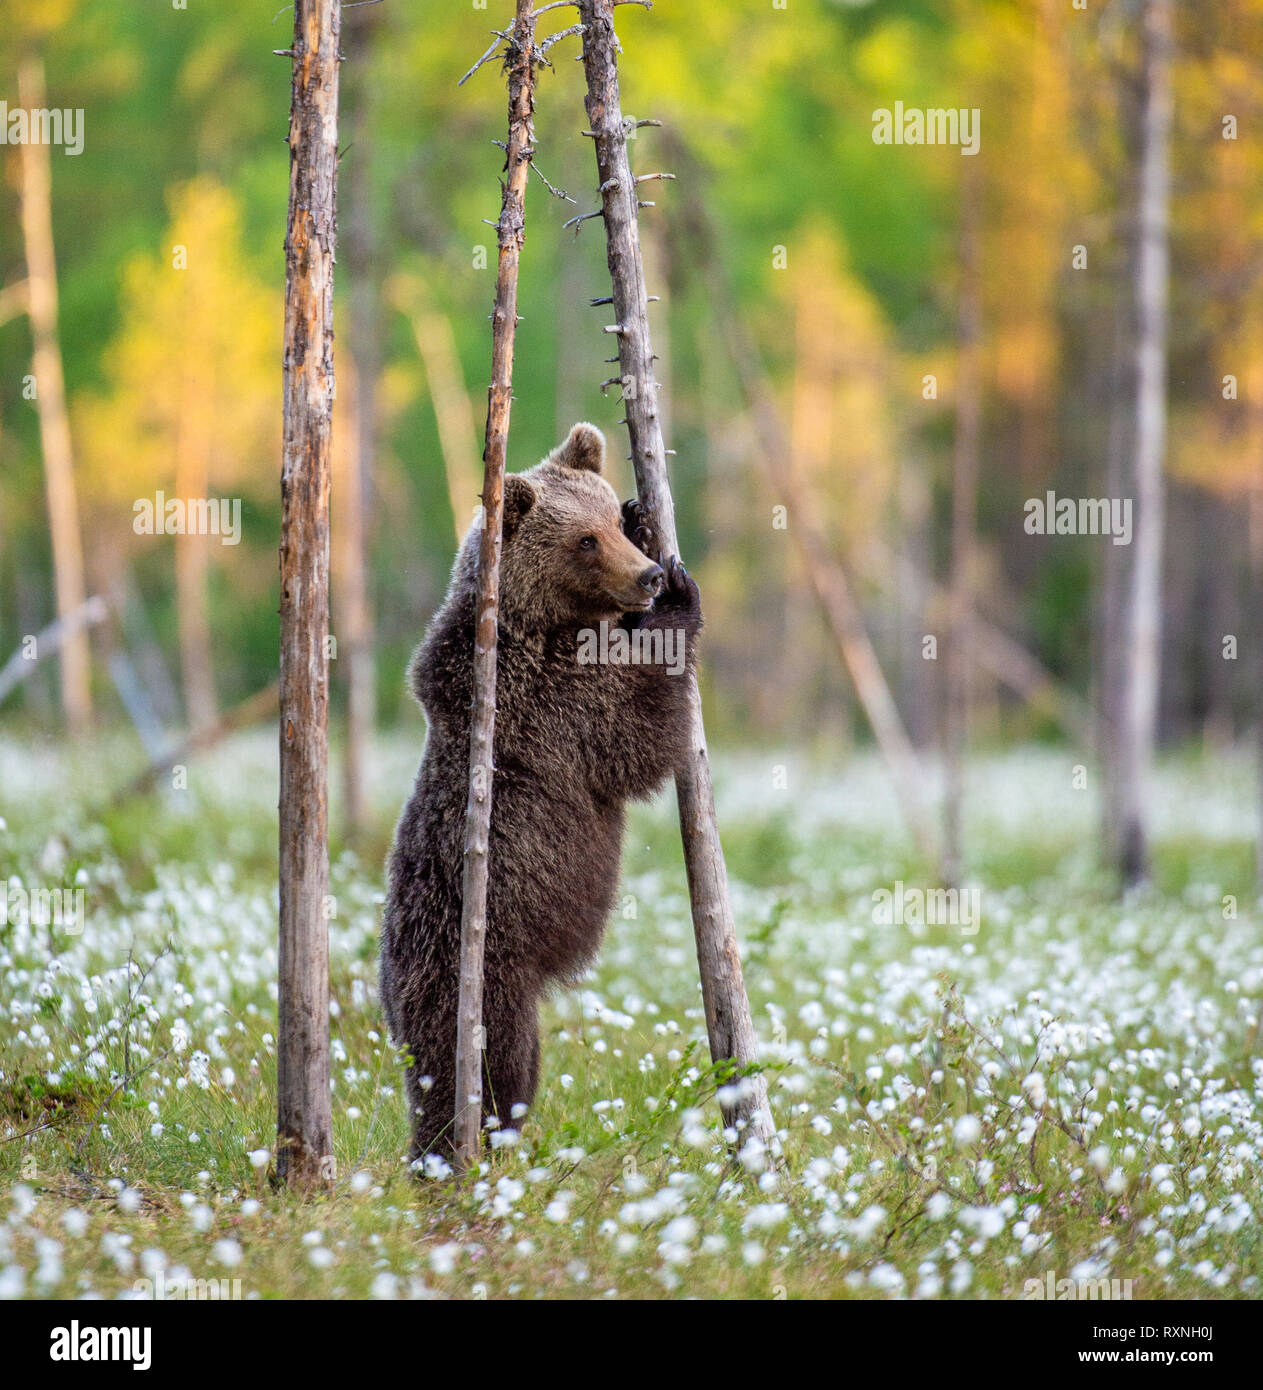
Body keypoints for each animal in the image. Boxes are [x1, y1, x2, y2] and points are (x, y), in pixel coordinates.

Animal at [380, 422, 705, 1162]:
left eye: (607, 518)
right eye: (582, 540)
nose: (646, 576)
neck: (534, 623)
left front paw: (649, 521)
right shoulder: (543, 701)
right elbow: (631, 735)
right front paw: (681, 600)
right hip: (478, 973)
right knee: (496, 1069)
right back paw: (466, 1150)